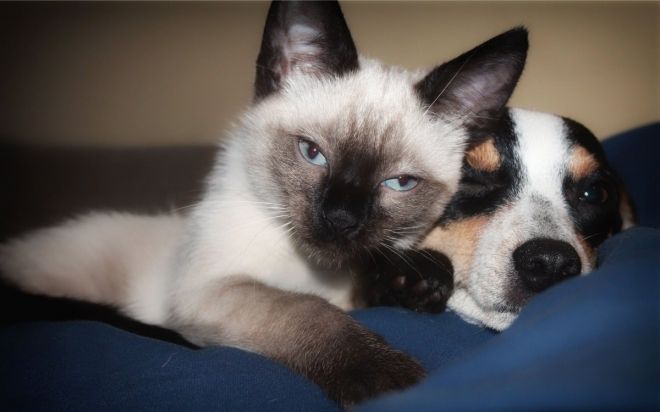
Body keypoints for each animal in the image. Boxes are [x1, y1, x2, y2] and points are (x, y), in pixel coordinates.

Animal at [0, 0, 528, 406]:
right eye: (312, 153)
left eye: (399, 183)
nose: (340, 219)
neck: (315, 271)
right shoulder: (209, 292)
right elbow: (308, 311)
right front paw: (390, 381)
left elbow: (383, 275)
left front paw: (418, 281)